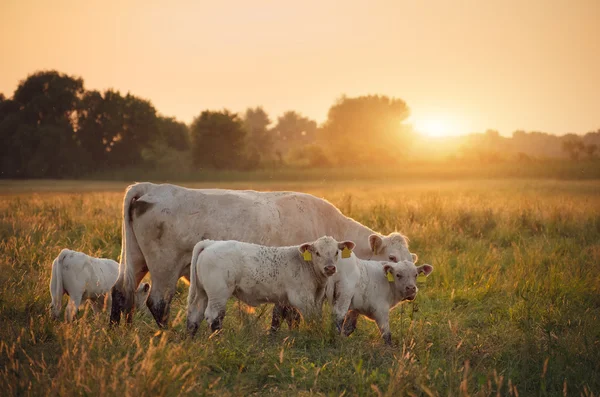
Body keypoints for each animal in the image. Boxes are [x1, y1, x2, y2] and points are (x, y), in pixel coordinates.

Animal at [109, 181, 418, 326]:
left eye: (411, 259)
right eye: (392, 259)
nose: (411, 288)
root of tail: (153, 188)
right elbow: (288, 314)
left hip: (136, 260)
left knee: (122, 293)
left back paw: (119, 332)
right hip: (165, 267)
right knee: (158, 303)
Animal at [189, 237, 356, 336]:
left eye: (336, 252)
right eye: (317, 252)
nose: (330, 268)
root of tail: (211, 243)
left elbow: (291, 318)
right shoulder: (301, 298)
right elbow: (310, 319)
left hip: (202, 292)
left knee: (195, 314)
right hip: (218, 294)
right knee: (214, 316)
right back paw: (218, 340)